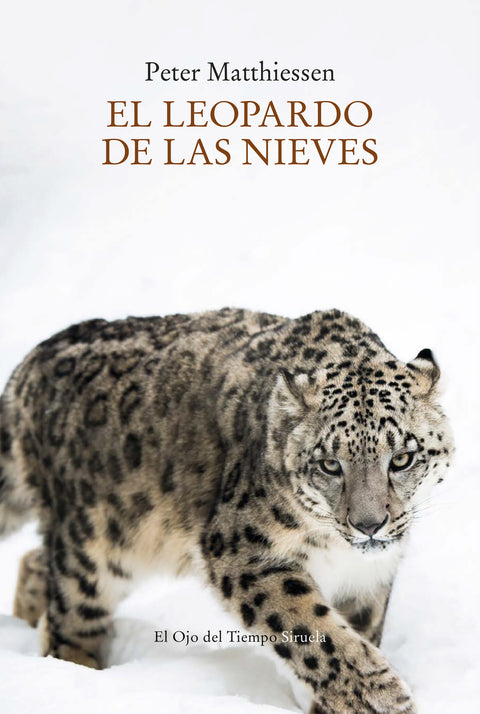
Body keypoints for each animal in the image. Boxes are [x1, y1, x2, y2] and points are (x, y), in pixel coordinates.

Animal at [0, 307, 453, 713]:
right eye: (329, 464)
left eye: (402, 458)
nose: (368, 525)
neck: (338, 552)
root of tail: (30, 362)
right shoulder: (243, 553)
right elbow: (313, 630)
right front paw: (382, 697)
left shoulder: (368, 579)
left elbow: (359, 631)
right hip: (92, 549)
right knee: (70, 618)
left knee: (37, 560)